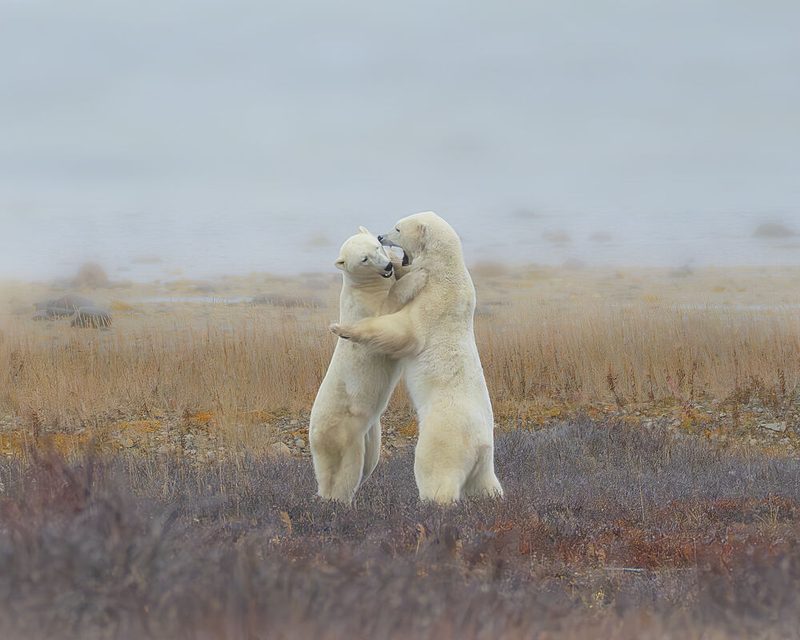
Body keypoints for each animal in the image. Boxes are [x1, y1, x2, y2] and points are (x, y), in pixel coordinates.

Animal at [309, 227, 414, 504]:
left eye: (375, 247)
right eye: (364, 259)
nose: (386, 266)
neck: (365, 286)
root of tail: (313, 435)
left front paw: (399, 263)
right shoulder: (365, 307)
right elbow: (387, 316)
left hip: (371, 433)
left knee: (368, 463)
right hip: (343, 431)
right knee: (346, 474)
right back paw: (337, 500)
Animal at [330, 211, 503, 503]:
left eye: (398, 228)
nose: (380, 236)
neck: (446, 268)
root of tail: (480, 444)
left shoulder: (435, 298)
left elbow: (403, 331)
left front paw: (342, 329)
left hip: (444, 435)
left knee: (434, 469)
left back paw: (431, 501)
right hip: (484, 461)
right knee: (486, 483)